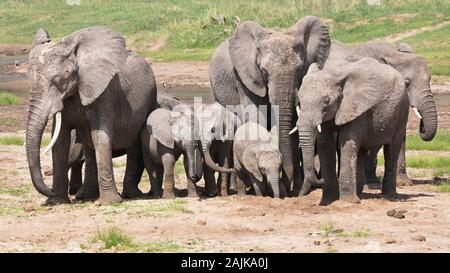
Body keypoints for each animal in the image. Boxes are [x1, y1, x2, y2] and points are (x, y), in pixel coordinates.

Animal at [26, 26, 157, 203]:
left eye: (60, 79)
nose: (49, 190)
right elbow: (60, 140)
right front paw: (56, 202)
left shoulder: (105, 93)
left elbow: (100, 135)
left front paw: (110, 202)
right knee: (88, 146)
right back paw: (87, 196)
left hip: (150, 102)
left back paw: (129, 195)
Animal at [210, 15, 330, 193]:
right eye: (264, 71)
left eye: (299, 69)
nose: (285, 183)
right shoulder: (244, 77)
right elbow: (255, 115)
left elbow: (293, 125)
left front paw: (294, 190)